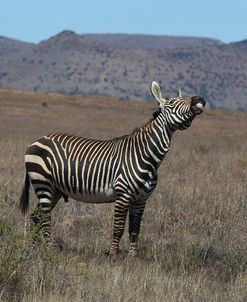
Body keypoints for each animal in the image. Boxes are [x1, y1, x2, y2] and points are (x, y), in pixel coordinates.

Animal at [19, 81, 206, 256]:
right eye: (173, 102)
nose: (200, 99)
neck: (147, 156)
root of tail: (38, 140)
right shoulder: (123, 195)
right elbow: (119, 228)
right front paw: (114, 256)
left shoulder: (141, 200)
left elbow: (134, 230)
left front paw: (132, 257)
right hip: (43, 183)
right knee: (44, 218)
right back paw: (49, 250)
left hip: (55, 190)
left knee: (35, 217)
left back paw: (32, 248)